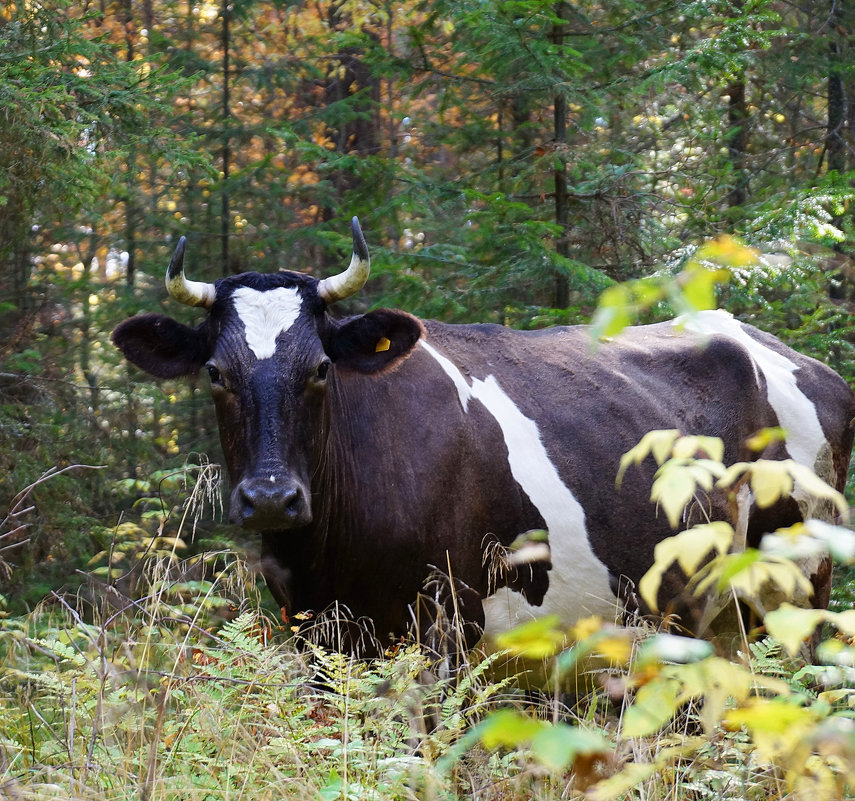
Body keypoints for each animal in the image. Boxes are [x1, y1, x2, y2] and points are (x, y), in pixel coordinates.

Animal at [113, 216, 855, 660]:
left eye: (321, 367)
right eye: (215, 372)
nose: (271, 498)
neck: (327, 550)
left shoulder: (443, 623)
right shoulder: (314, 630)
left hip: (800, 583)